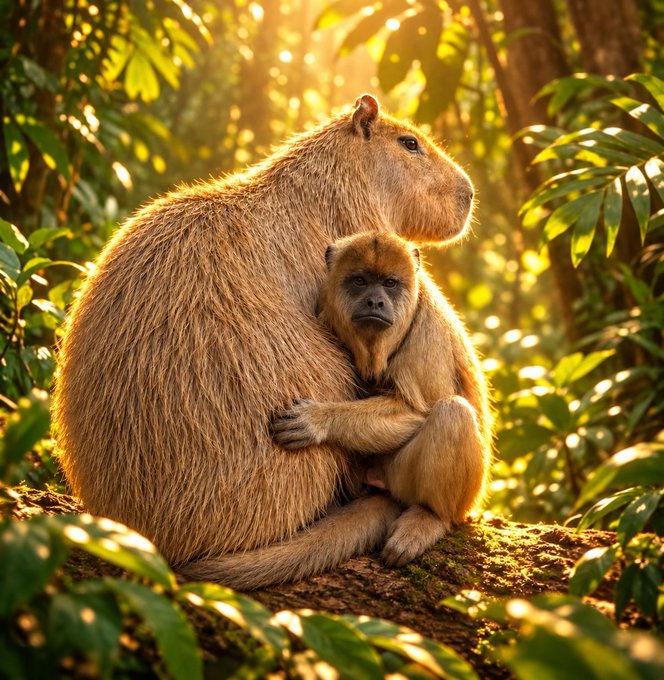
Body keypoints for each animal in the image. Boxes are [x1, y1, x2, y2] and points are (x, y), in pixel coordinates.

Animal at [272, 232, 491, 566]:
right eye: (360, 281)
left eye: (390, 283)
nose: (375, 301)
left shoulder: (426, 328)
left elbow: (417, 410)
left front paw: (318, 420)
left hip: (413, 480)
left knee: (452, 413)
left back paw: (431, 516)